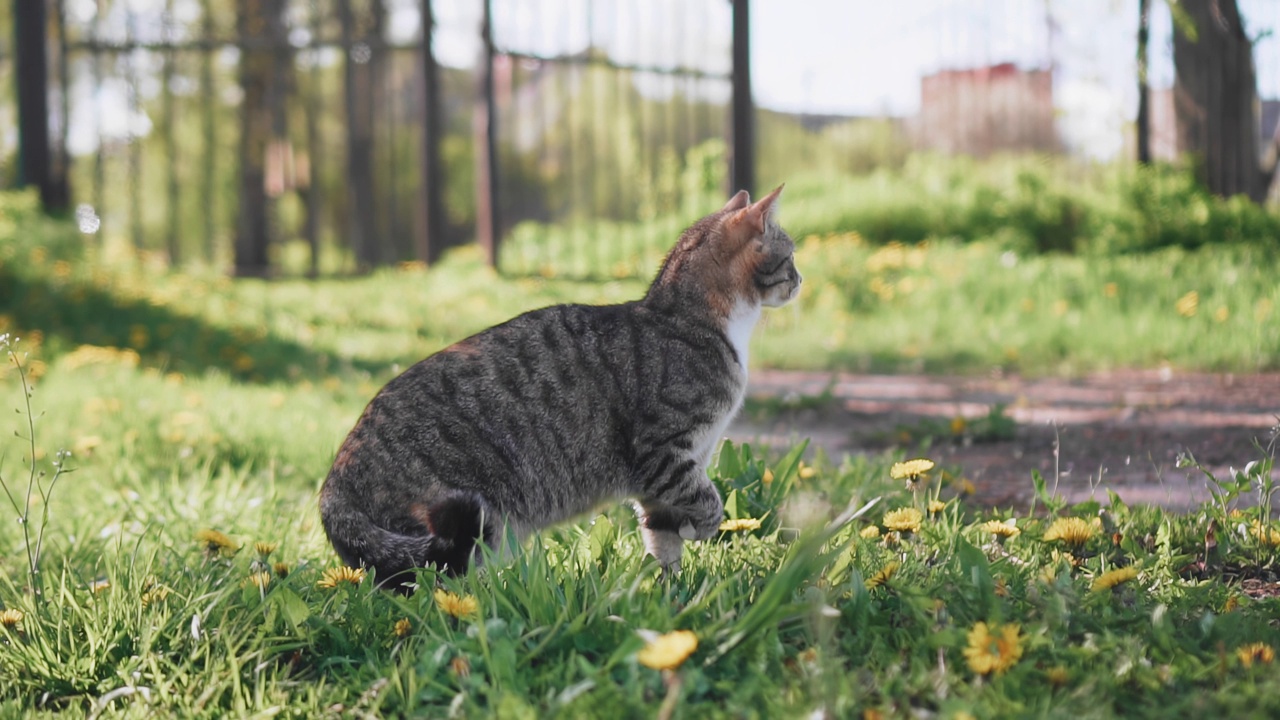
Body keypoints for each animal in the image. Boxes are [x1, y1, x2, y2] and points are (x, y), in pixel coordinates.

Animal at [320, 184, 798, 584]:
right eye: (791, 256)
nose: (800, 280)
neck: (690, 320)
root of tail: (333, 485)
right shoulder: (663, 455)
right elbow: (707, 499)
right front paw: (703, 528)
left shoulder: (665, 478)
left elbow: (661, 539)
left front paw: (671, 591)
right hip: (465, 523)